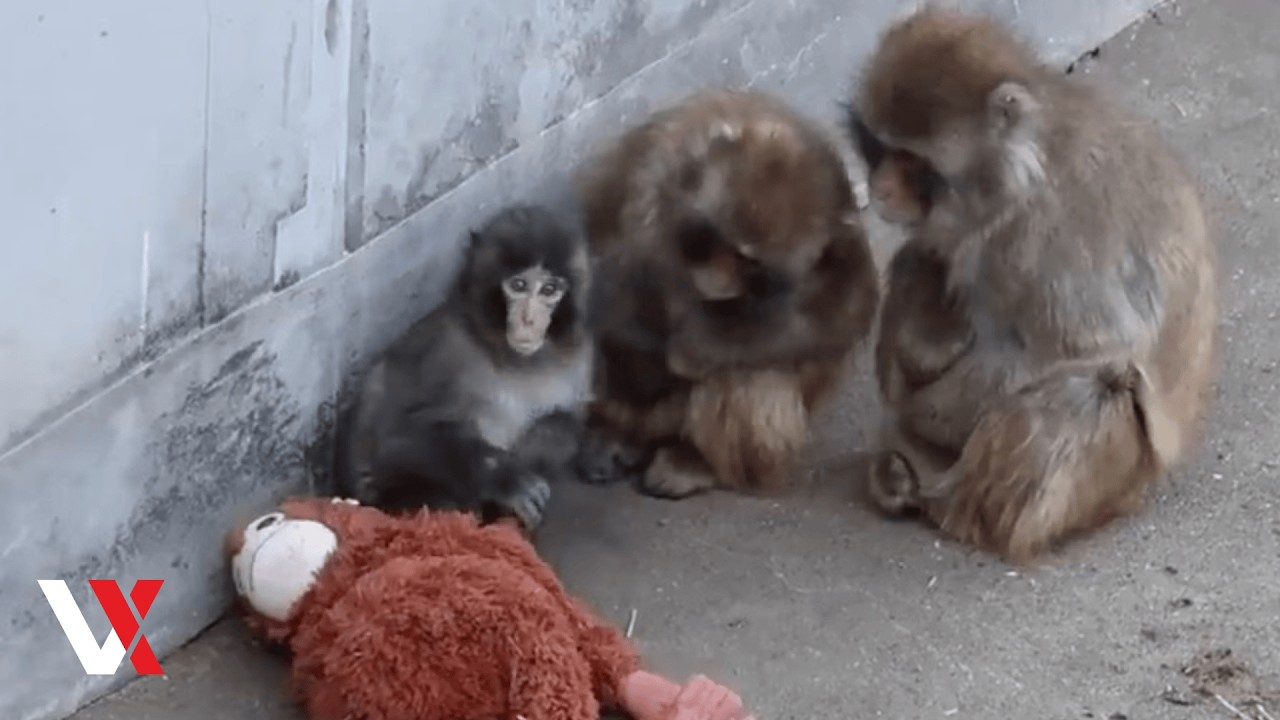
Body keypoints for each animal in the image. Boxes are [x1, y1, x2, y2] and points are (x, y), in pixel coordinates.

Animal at [333, 204, 594, 534]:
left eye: (549, 289)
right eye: (519, 285)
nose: (529, 320)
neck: (513, 358)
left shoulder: (580, 360)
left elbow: (565, 424)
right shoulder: (447, 349)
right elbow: (395, 436)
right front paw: (505, 479)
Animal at [573, 88, 881, 499]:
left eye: (751, 264)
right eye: (716, 238)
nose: (718, 285)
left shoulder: (839, 236)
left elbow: (841, 315)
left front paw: (692, 350)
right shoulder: (650, 162)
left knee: (750, 374)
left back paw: (694, 461)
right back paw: (617, 431)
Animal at [844, 6, 1219, 564]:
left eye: (914, 163)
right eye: (881, 148)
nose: (882, 187)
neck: (1018, 173)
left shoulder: (1040, 238)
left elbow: (1087, 348)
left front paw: (923, 414)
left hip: (1110, 483)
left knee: (1087, 392)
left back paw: (951, 508)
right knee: (917, 260)